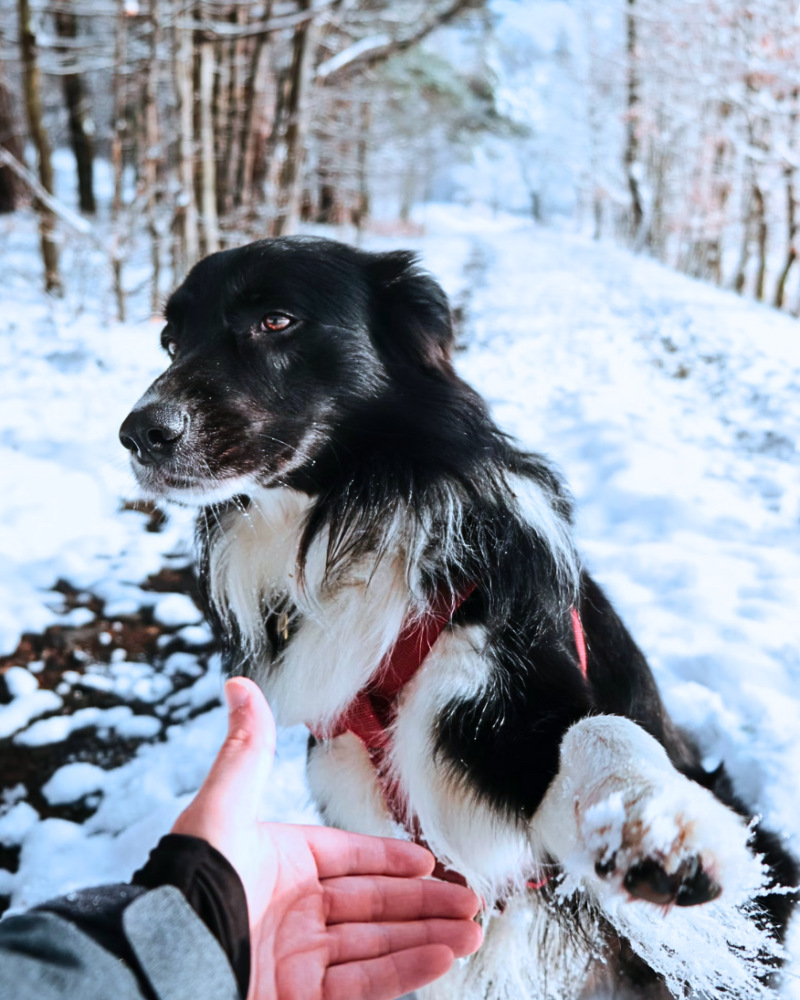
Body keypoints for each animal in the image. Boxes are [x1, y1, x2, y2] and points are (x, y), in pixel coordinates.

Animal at [122, 240, 796, 1000]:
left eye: (275, 320)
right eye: (170, 341)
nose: (138, 434)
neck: (348, 520)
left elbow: (599, 728)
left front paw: (649, 819)